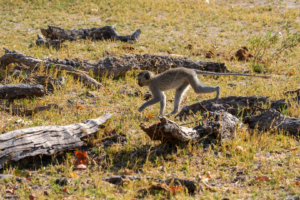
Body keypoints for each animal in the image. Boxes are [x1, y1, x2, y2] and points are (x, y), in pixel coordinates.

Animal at [137, 67, 270, 115]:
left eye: (139, 79)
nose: (138, 83)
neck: (151, 79)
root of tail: (191, 69)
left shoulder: (152, 86)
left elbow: (159, 98)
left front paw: (141, 108)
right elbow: (163, 97)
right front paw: (162, 115)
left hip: (190, 77)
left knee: (198, 89)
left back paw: (217, 90)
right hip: (187, 79)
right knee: (179, 91)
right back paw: (174, 111)